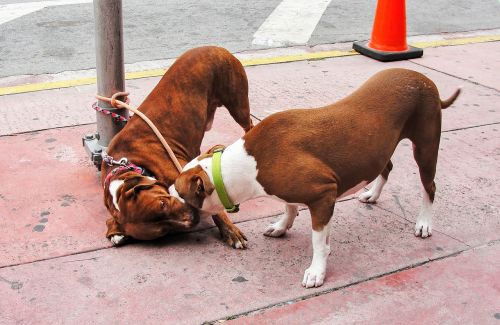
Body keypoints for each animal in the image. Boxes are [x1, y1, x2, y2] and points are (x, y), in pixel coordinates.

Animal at [100, 45, 254, 247]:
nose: (194, 218)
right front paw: (117, 234)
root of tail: (215, 47)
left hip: (237, 104)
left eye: (163, 203)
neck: (127, 165)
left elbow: (217, 210)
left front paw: (230, 230)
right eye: (165, 231)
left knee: (248, 123)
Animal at [171, 67, 460, 286]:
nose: (168, 191)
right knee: (386, 167)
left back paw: (424, 223)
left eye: (178, 194)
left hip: (426, 146)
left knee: (429, 187)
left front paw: (317, 271)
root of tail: (425, 80)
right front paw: (282, 226)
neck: (239, 165)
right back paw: (372, 195)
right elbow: (289, 207)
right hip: (380, 149)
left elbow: (318, 240)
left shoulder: (323, 194)